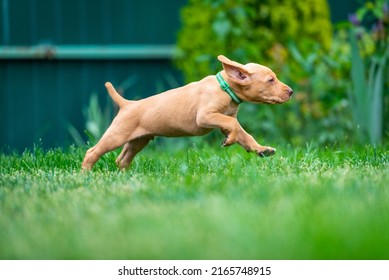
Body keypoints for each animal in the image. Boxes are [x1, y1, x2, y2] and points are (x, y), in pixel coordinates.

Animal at [82, 53, 292, 170]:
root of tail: (126, 104)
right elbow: (233, 125)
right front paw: (229, 141)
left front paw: (261, 149)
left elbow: (244, 134)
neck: (225, 88)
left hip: (138, 140)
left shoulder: (225, 119)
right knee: (92, 152)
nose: (291, 91)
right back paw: (86, 174)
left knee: (122, 159)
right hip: (116, 135)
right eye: (271, 80)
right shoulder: (206, 116)